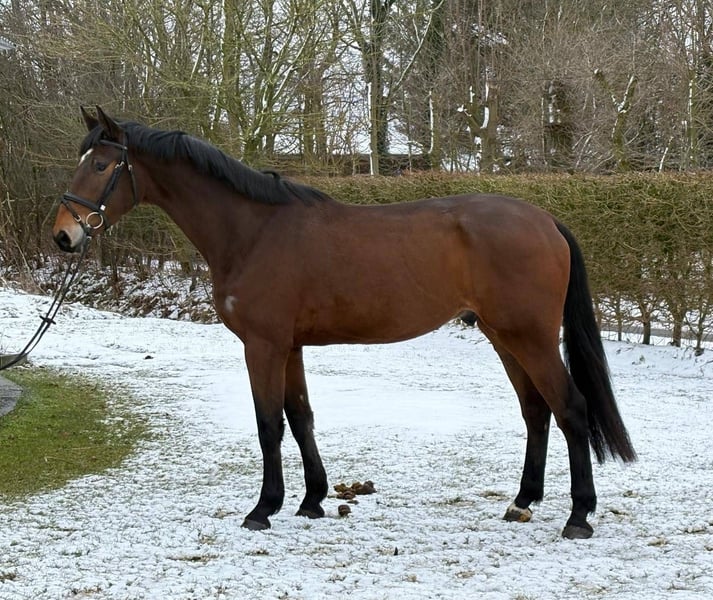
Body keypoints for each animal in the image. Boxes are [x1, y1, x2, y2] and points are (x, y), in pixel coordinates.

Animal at [53, 106, 636, 539]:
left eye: (101, 165)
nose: (64, 234)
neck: (253, 231)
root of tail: (546, 220)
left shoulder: (262, 345)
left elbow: (269, 424)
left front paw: (262, 509)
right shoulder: (289, 346)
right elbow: (300, 417)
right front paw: (311, 499)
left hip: (528, 337)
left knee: (571, 408)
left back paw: (578, 516)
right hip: (503, 336)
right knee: (536, 410)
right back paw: (522, 502)